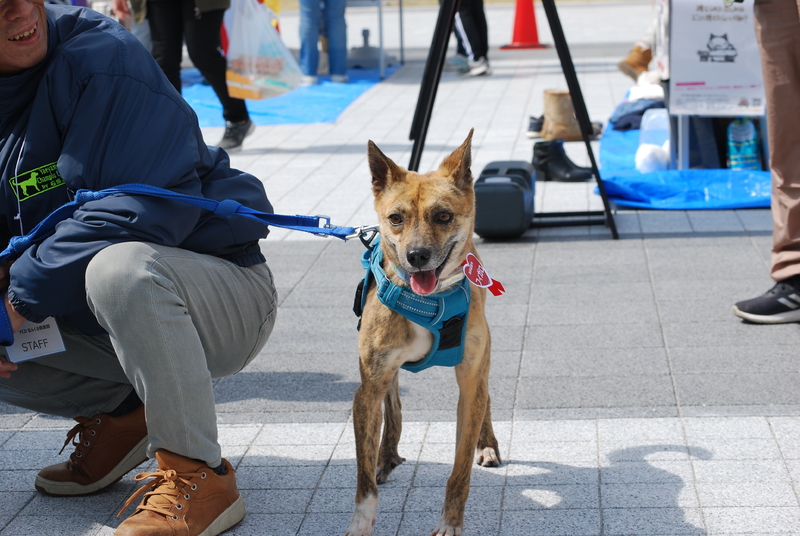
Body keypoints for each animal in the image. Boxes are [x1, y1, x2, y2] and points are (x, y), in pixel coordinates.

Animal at [346, 129, 501, 536]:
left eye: (443, 216)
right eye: (396, 218)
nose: (417, 255)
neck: (428, 304)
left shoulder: (469, 381)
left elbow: (459, 470)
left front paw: (450, 522)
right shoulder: (367, 390)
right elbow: (362, 477)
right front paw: (361, 522)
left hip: (483, 362)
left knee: (487, 396)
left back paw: (488, 444)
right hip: (385, 373)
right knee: (395, 405)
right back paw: (386, 456)